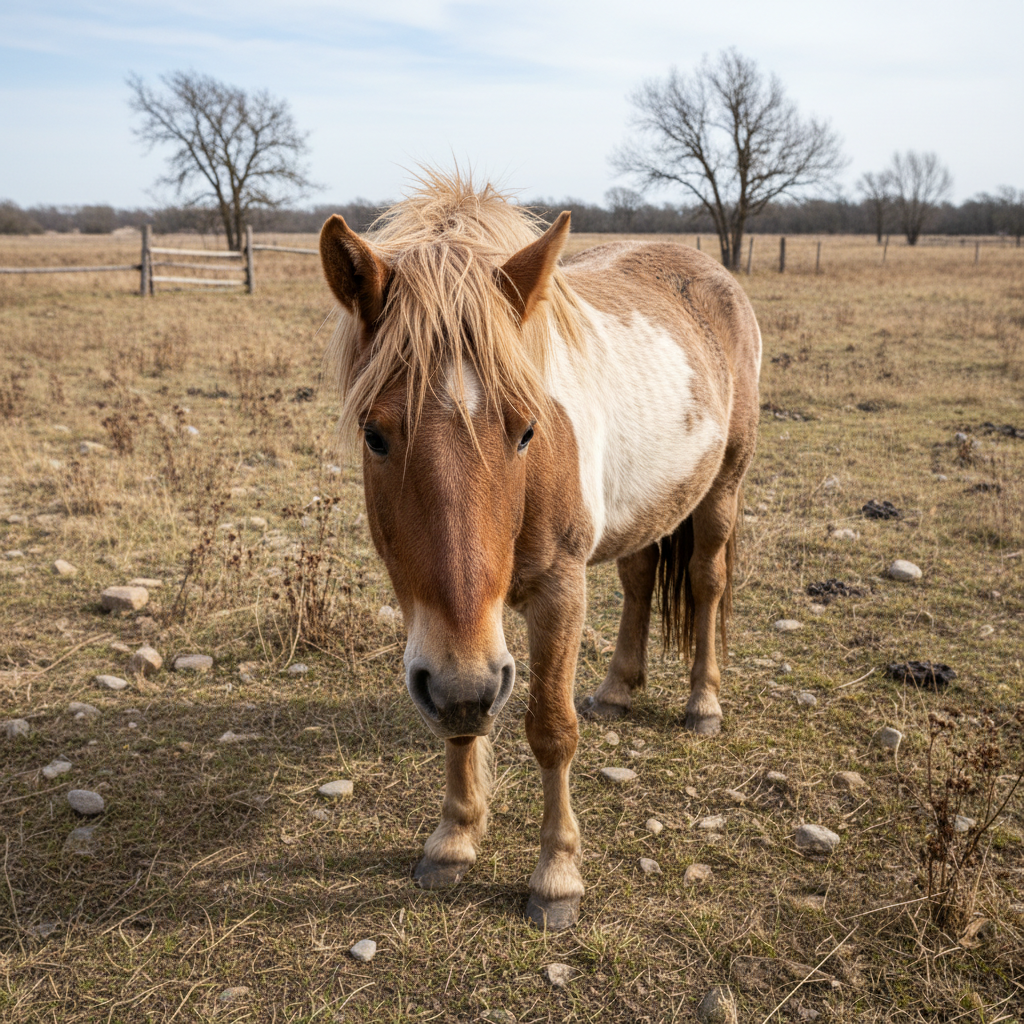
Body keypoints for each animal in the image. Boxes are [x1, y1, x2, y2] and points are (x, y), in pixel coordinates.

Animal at [319, 171, 761, 931]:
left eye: (527, 430)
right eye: (375, 435)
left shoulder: (558, 592)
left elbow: (551, 728)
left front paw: (557, 877)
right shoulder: (444, 631)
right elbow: (461, 716)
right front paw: (454, 838)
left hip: (721, 491)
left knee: (705, 583)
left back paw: (703, 703)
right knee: (640, 577)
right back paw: (617, 689)